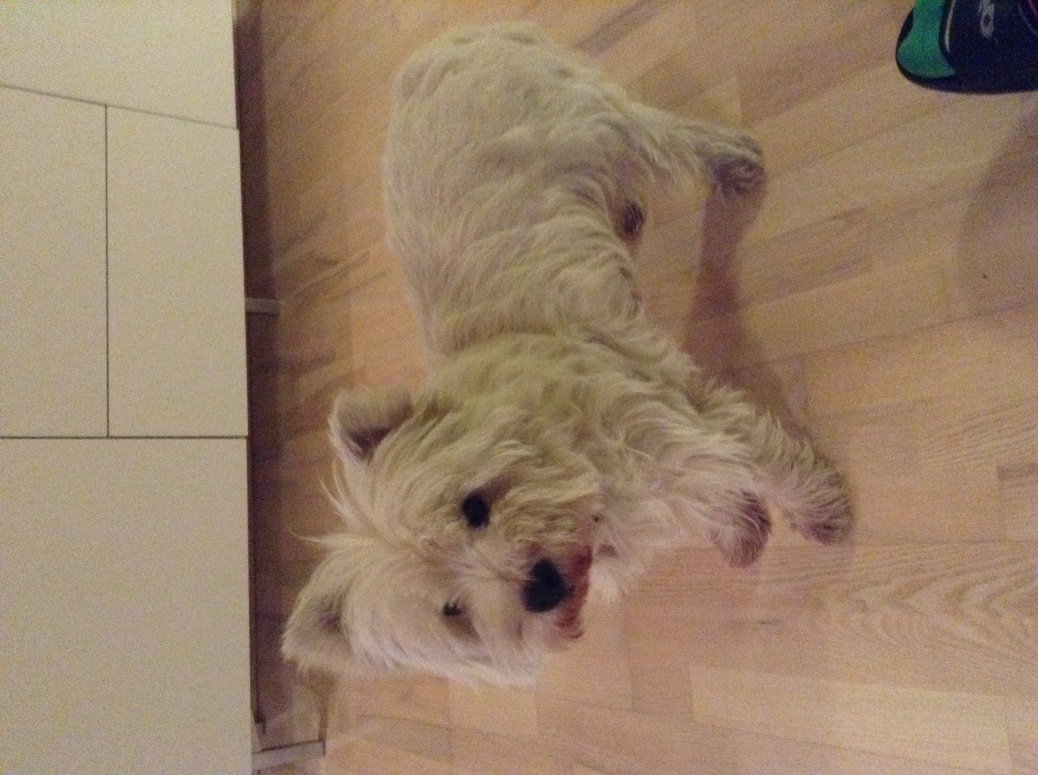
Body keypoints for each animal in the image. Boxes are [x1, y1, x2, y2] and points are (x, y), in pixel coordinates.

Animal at [282, 23, 852, 685]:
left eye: (473, 507)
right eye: (452, 611)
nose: (540, 587)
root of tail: (440, 46)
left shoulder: (678, 420)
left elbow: (769, 463)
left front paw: (823, 513)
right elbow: (714, 488)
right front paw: (740, 526)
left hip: (594, 124)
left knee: (671, 138)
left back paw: (734, 162)